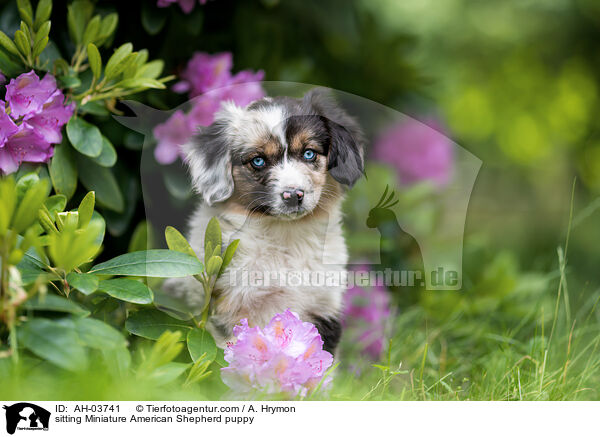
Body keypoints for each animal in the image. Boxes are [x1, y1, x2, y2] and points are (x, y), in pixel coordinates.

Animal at [162, 88, 366, 354]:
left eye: (309, 153)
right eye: (258, 161)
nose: (293, 195)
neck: (285, 236)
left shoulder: (323, 306)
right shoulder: (227, 309)